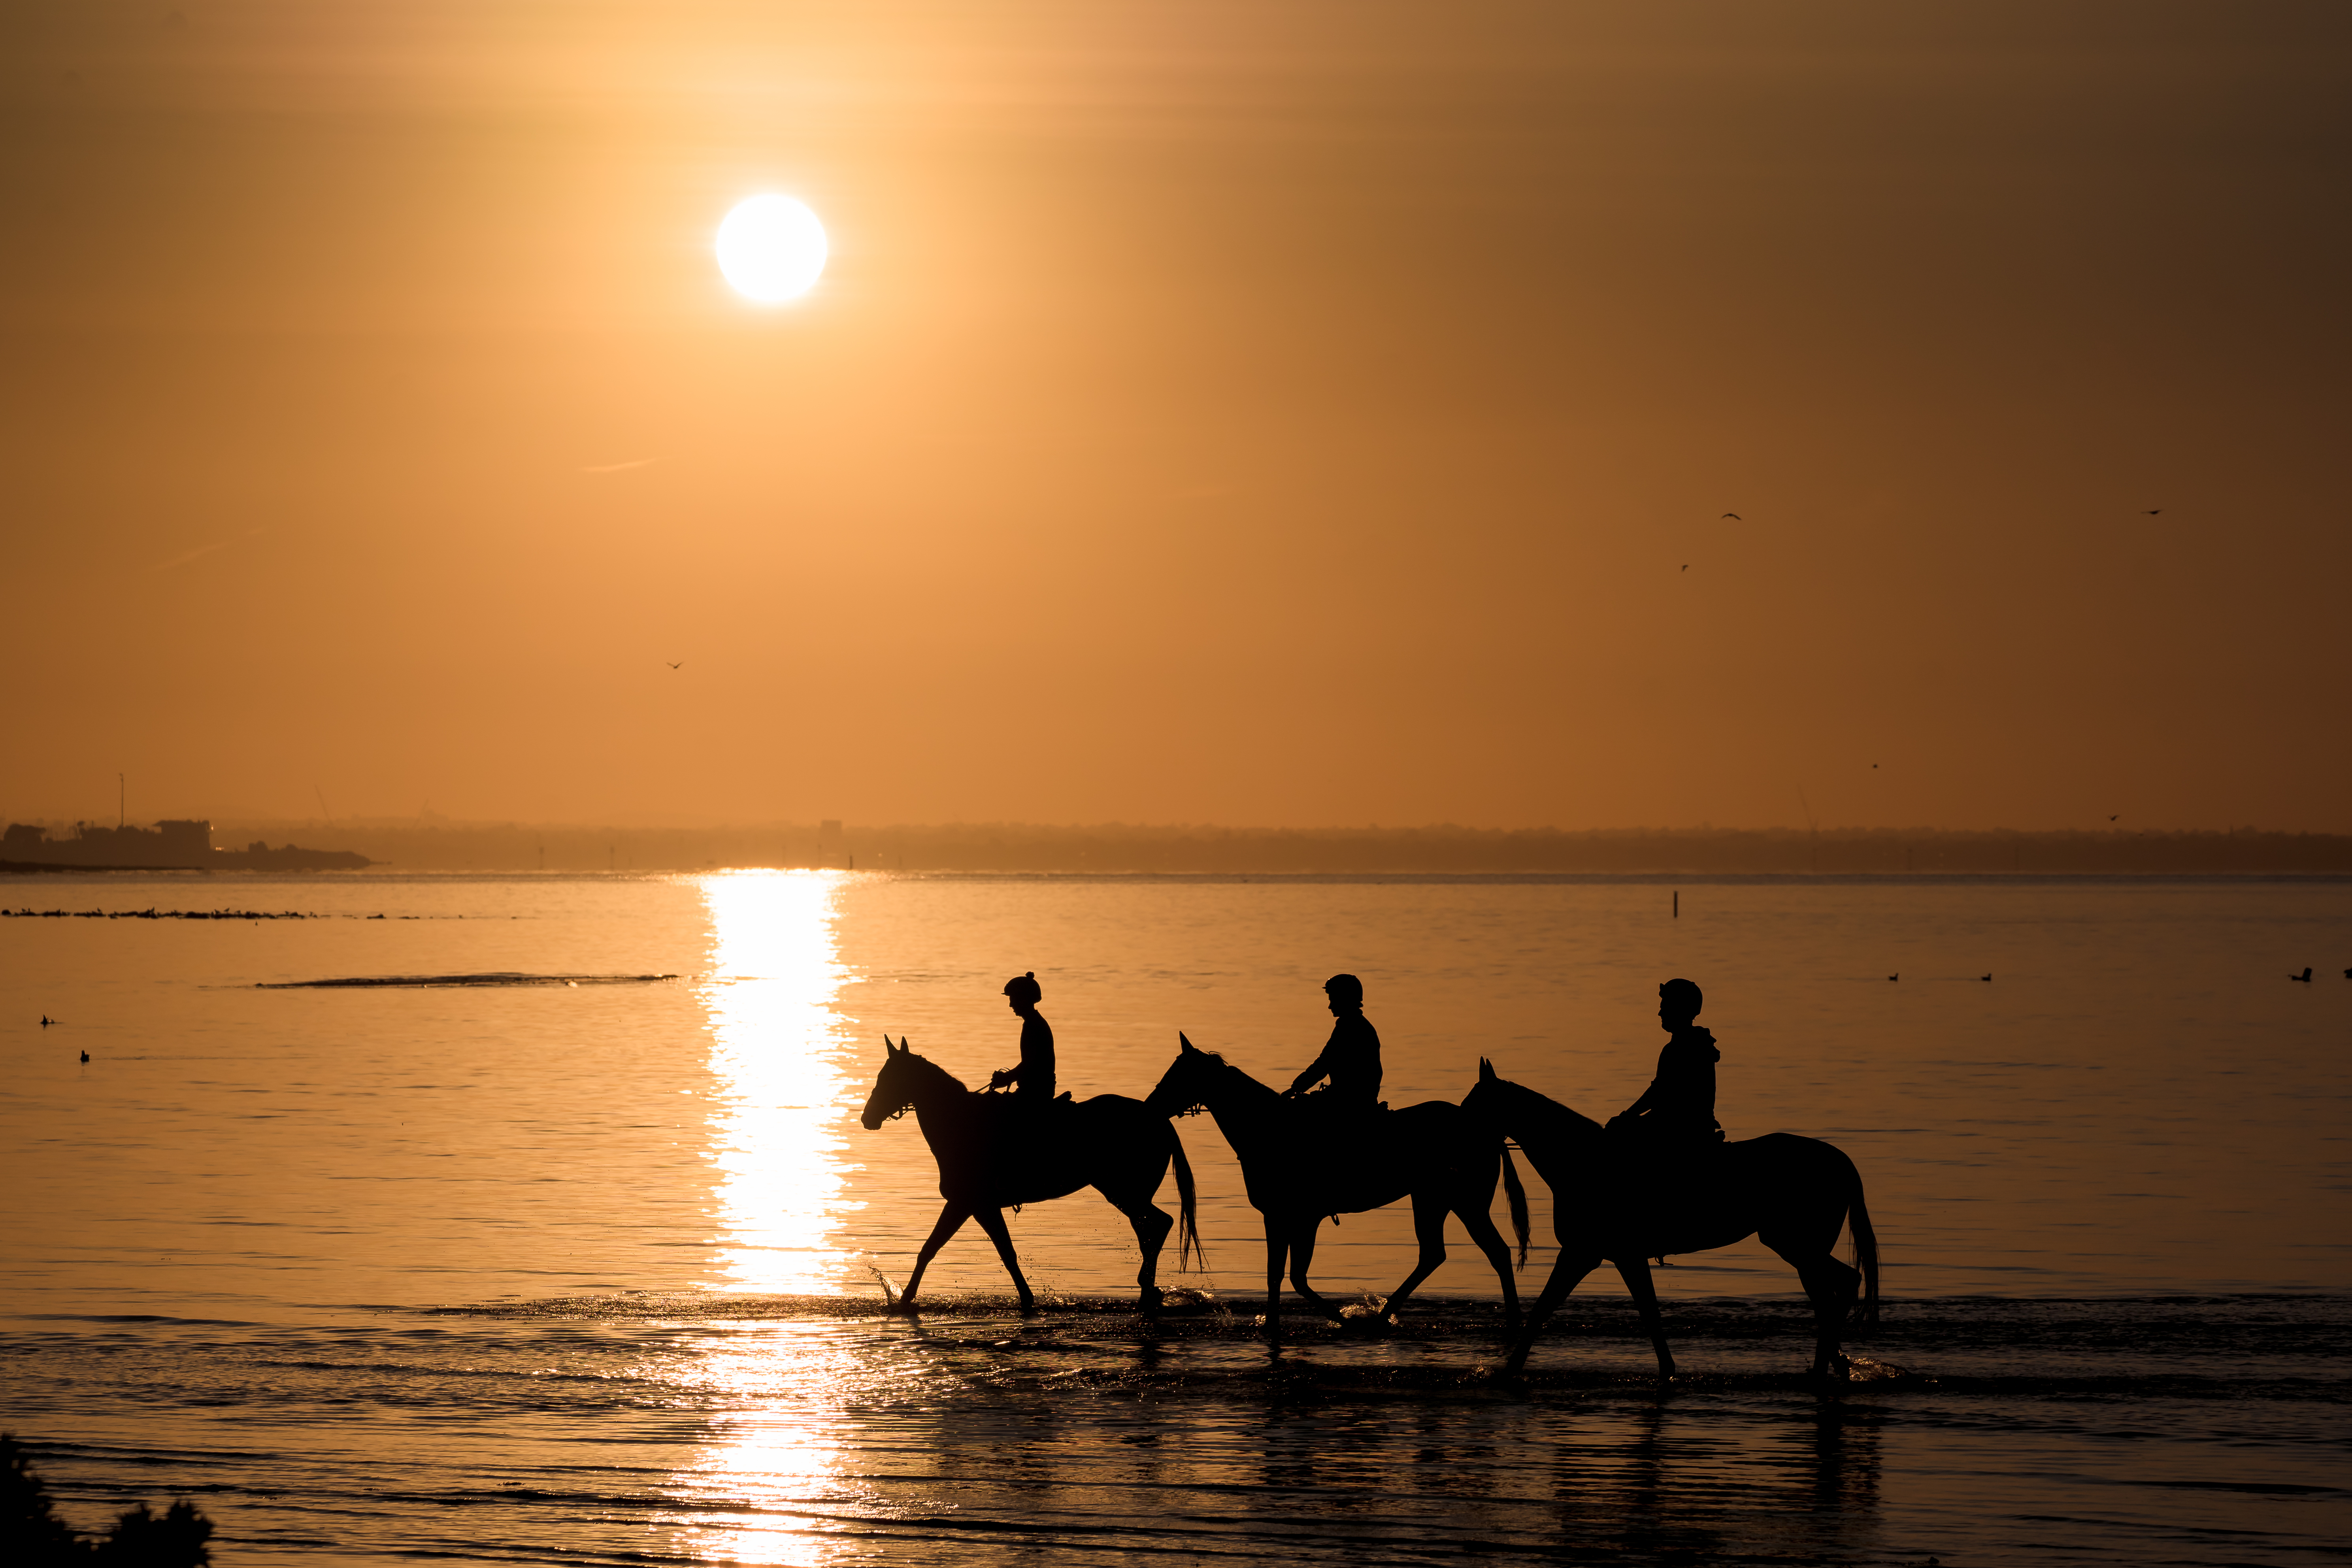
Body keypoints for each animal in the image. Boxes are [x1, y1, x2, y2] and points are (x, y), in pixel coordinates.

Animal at [859, 1036, 1201, 1314]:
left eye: (889, 1077)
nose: (867, 1118)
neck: (961, 1124)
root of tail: (1159, 1119)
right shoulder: (979, 1207)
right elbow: (1002, 1252)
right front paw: (1027, 1299)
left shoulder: (967, 1204)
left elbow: (933, 1249)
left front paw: (903, 1301)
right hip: (1127, 1193)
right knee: (1149, 1230)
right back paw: (1148, 1293)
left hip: (1124, 1191)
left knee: (1158, 1225)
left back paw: (1147, 1290)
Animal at [1143, 1034, 1528, 1335]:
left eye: (1179, 1074)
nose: (1150, 1105)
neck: (1269, 1130)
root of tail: (1485, 1129)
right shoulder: (1282, 1217)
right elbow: (1278, 1275)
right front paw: (1274, 1324)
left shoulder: (1299, 1217)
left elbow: (1292, 1276)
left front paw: (1337, 1321)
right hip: (1438, 1199)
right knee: (1450, 1253)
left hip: (1459, 1200)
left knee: (1485, 1252)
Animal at [1462, 1059, 1879, 1379]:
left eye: (1474, 1103)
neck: (1584, 1162)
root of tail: (1840, 1161)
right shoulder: (1618, 1256)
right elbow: (1647, 1312)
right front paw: (1668, 1369)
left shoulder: (1585, 1252)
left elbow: (1546, 1307)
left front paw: (1508, 1369)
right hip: (1799, 1247)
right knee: (1832, 1292)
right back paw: (1831, 1365)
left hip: (1795, 1244)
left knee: (1838, 1288)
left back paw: (1827, 1367)